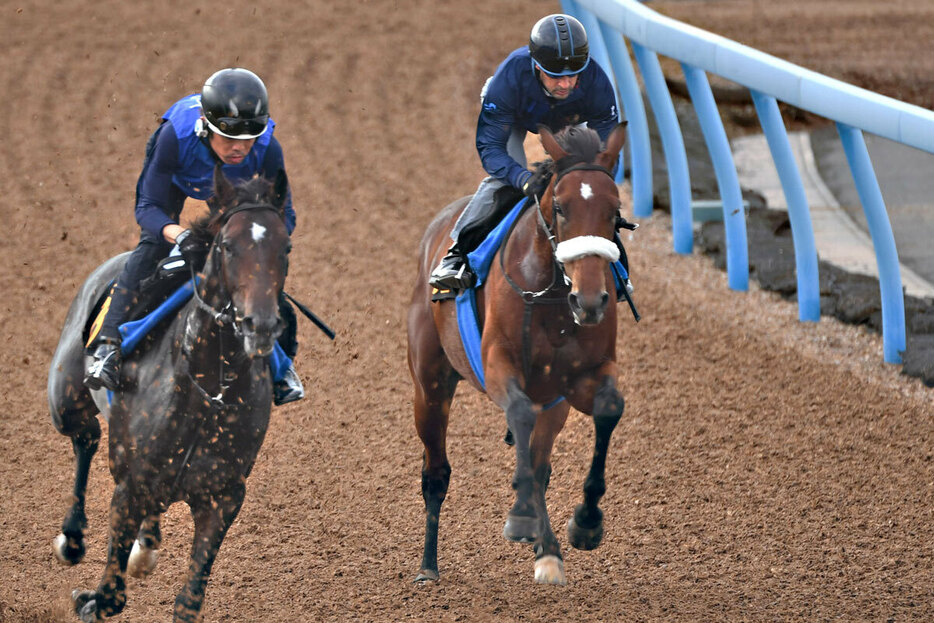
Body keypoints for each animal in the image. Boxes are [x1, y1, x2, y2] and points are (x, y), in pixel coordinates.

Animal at [47, 167, 294, 623]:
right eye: (228, 246)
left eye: (284, 246)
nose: (262, 325)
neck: (206, 390)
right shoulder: (130, 486)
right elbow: (110, 597)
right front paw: (89, 596)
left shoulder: (223, 495)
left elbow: (188, 603)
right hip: (65, 401)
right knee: (85, 438)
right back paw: (71, 539)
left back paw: (144, 548)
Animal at [408, 122, 628, 584]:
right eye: (560, 207)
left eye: (614, 211)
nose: (590, 301)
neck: (551, 296)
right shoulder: (498, 367)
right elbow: (520, 414)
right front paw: (522, 517)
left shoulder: (579, 379)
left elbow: (608, 409)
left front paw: (586, 523)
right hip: (430, 385)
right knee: (436, 472)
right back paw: (428, 565)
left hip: (553, 403)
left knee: (540, 463)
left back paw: (548, 552)